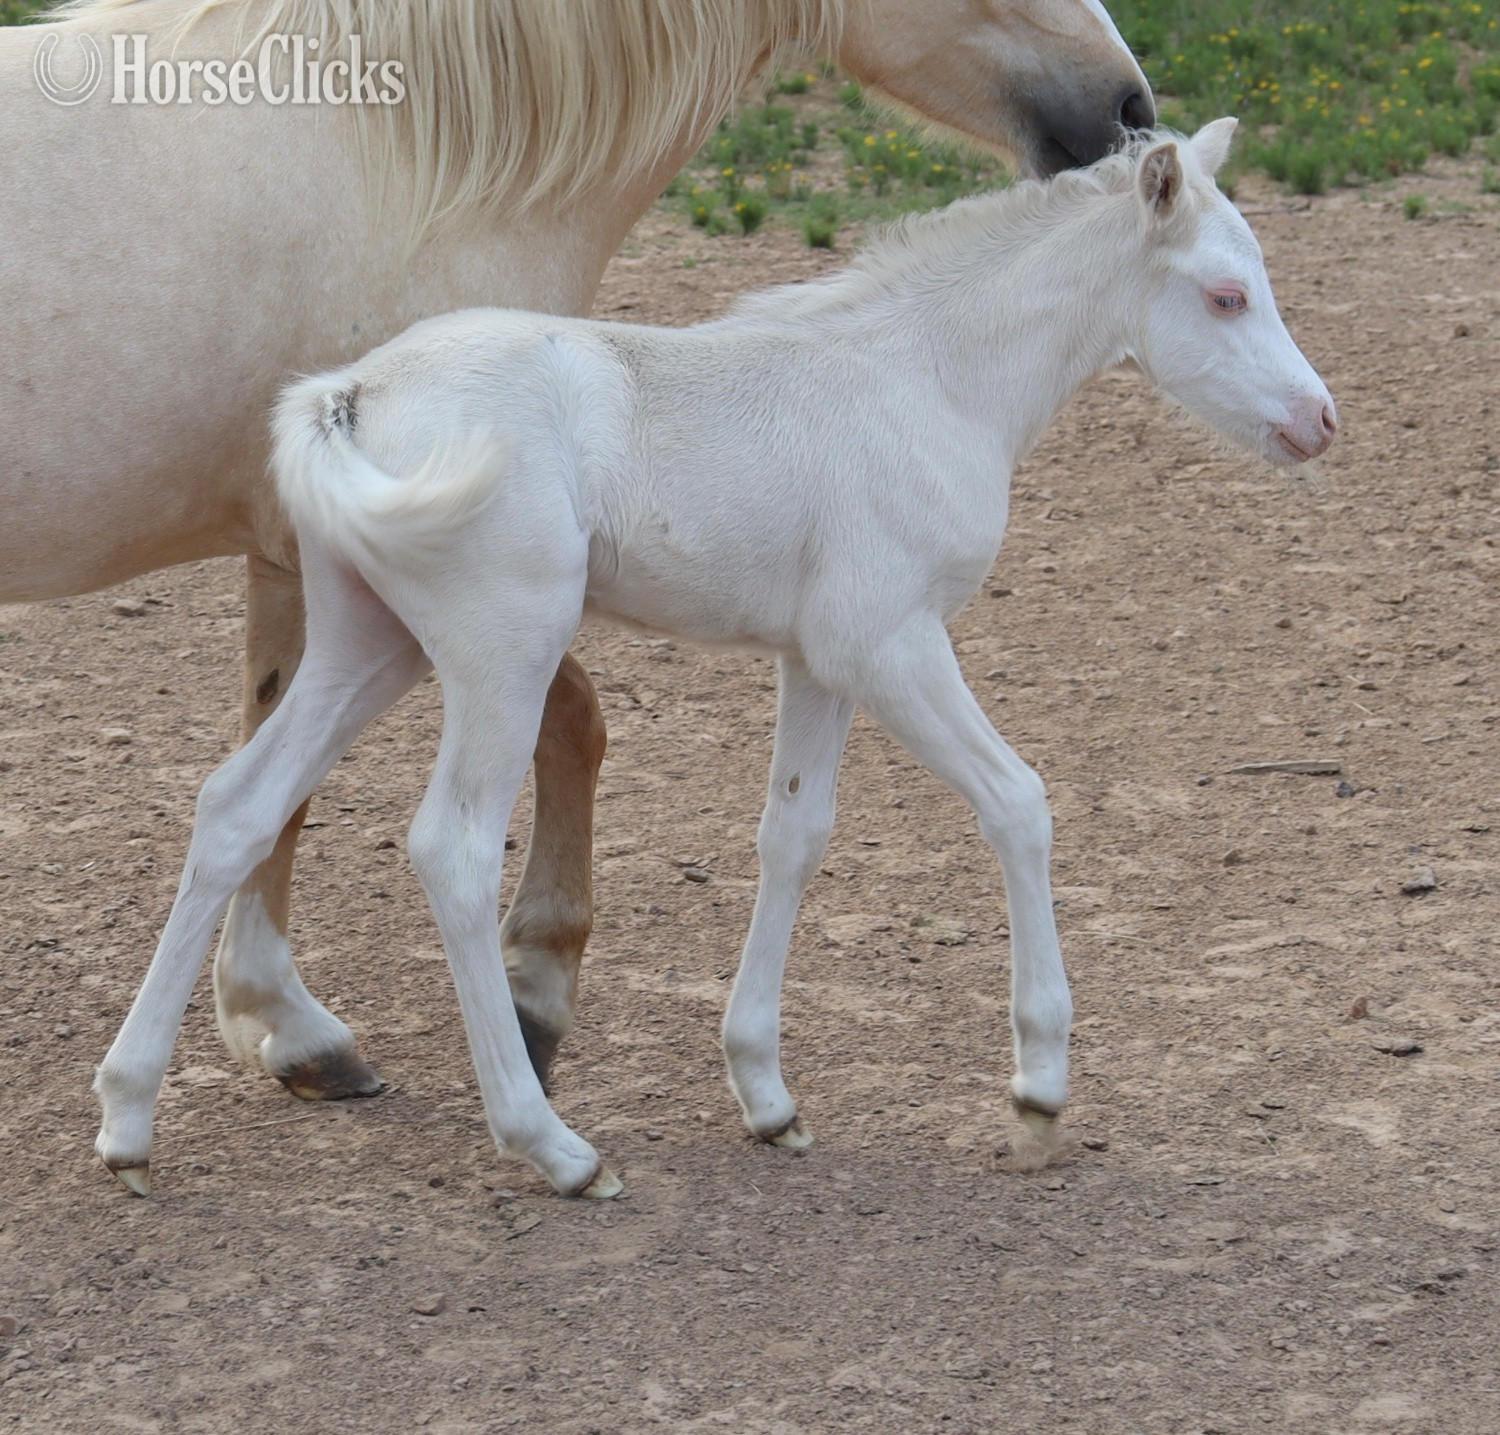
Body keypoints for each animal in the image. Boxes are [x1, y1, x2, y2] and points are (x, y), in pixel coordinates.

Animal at [1, 0, 1154, 1108]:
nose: (1129, 108)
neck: (407, 150)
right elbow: (557, 726)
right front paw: (508, 997)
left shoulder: (322, 565)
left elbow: (279, 773)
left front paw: (283, 1018)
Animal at [93, 118, 1338, 1199]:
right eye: (1225, 294)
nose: (1320, 420)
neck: (925, 379)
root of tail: (351, 396)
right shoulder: (890, 640)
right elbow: (1018, 800)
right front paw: (1037, 1089)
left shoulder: (821, 660)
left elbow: (794, 836)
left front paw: (767, 1093)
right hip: (504, 650)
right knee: (452, 847)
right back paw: (551, 1146)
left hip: (371, 643)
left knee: (236, 805)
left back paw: (128, 1117)